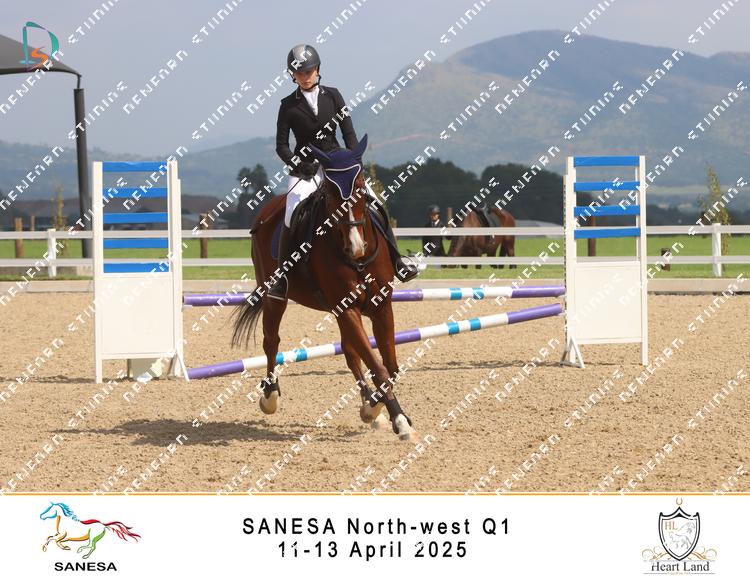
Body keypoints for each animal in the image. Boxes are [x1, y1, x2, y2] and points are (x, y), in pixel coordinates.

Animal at [231, 135, 417, 441]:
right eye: (330, 193)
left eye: (361, 186)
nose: (356, 247)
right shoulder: (348, 309)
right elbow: (378, 366)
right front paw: (398, 420)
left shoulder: (380, 306)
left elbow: (388, 366)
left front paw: (376, 407)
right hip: (275, 296)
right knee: (271, 341)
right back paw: (270, 396)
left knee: (349, 352)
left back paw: (368, 404)